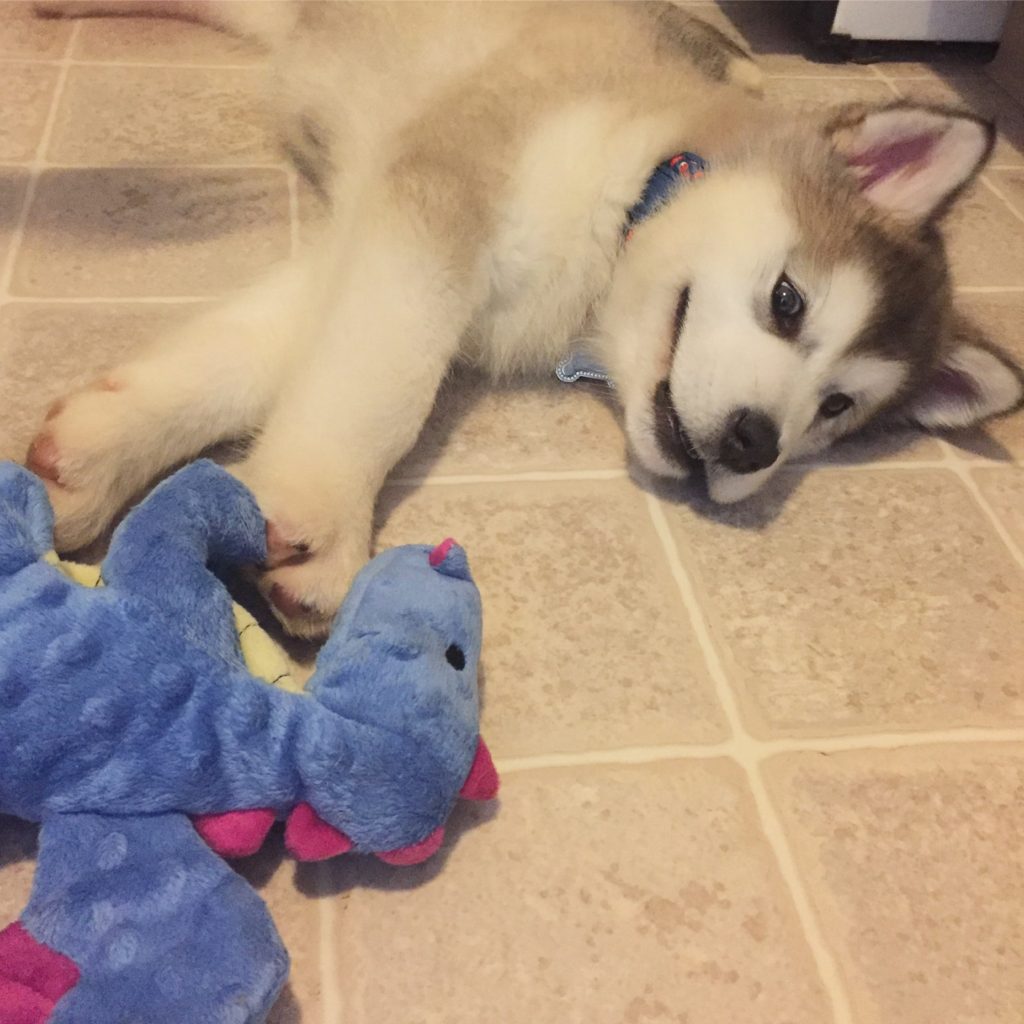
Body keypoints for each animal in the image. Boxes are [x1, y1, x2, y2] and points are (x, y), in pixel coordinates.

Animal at [29, 4, 1024, 634]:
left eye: (835, 410)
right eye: (789, 301)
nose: (753, 444)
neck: (630, 187)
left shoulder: (374, 233)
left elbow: (268, 349)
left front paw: (96, 450)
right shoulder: (437, 204)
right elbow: (385, 381)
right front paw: (321, 509)